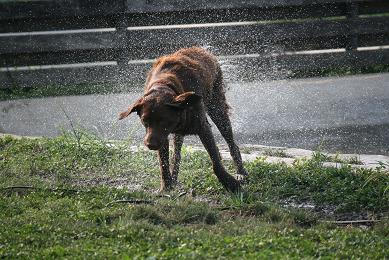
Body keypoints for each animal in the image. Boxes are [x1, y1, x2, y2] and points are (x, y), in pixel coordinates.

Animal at [118, 47, 247, 193]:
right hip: (180, 132)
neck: (164, 85)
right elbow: (164, 163)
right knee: (177, 156)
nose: (150, 144)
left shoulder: (203, 128)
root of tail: (203, 50)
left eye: (164, 121)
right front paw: (166, 186)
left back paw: (241, 172)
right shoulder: (161, 135)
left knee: (232, 145)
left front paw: (229, 183)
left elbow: (215, 161)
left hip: (217, 110)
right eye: (145, 121)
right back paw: (174, 179)